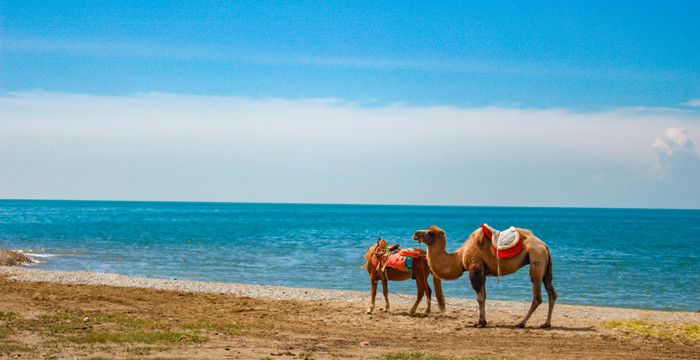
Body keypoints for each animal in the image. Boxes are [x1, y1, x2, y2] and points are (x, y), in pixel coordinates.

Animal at [412, 225, 556, 330]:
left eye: (430, 233)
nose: (416, 233)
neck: (460, 256)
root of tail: (544, 245)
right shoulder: (483, 273)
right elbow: (484, 297)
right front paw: (484, 321)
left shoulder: (474, 269)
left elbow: (479, 298)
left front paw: (480, 323)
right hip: (545, 266)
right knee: (552, 293)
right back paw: (546, 324)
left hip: (536, 258)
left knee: (537, 296)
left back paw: (521, 323)